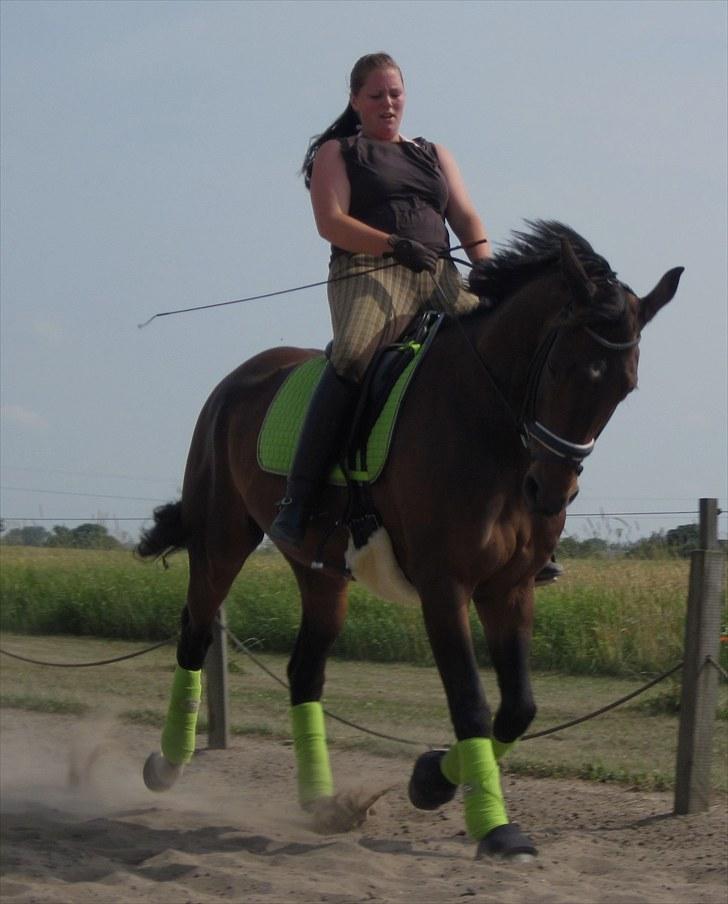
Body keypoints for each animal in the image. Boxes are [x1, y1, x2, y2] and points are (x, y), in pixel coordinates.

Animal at [135, 222, 684, 860]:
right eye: (560, 369)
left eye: (625, 387)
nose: (549, 492)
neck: (490, 427)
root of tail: (238, 379)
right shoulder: (445, 586)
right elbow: (471, 702)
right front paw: (495, 827)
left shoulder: (511, 588)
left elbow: (519, 709)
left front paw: (430, 780)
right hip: (221, 543)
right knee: (195, 637)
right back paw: (166, 765)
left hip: (321, 571)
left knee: (304, 671)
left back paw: (323, 802)